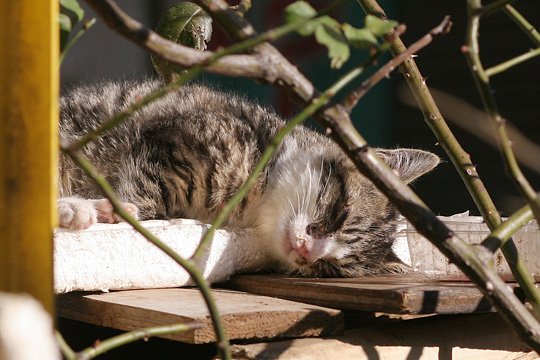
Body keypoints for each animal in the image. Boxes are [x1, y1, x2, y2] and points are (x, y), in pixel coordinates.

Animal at [58, 78, 438, 276]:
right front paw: (123, 208)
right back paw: (80, 208)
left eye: (331, 267)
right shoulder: (173, 138)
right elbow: (145, 190)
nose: (308, 253)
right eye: (339, 214)